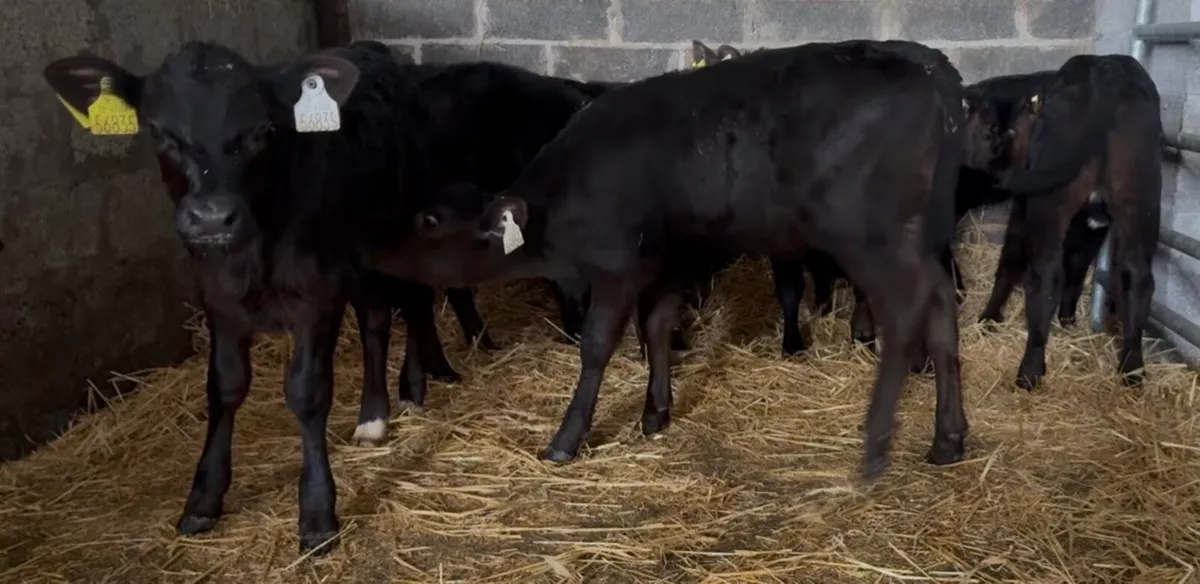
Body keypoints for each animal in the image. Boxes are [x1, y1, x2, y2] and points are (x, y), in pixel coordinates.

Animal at [384, 40, 978, 480]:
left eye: (429, 222)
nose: (383, 254)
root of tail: (933, 76)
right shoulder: (667, 262)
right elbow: (657, 327)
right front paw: (655, 411)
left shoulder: (618, 268)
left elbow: (598, 346)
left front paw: (567, 438)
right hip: (918, 234)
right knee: (939, 299)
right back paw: (948, 438)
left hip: (868, 235)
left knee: (909, 306)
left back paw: (877, 442)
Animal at [967, 54, 1162, 389]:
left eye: (1003, 133)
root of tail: (1106, 73)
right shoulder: (1090, 227)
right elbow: (1077, 267)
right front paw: (1068, 320)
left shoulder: (1023, 209)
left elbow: (1010, 261)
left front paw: (988, 318)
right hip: (1140, 196)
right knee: (1137, 275)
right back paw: (1132, 368)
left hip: (1048, 202)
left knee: (1043, 274)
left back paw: (1030, 370)